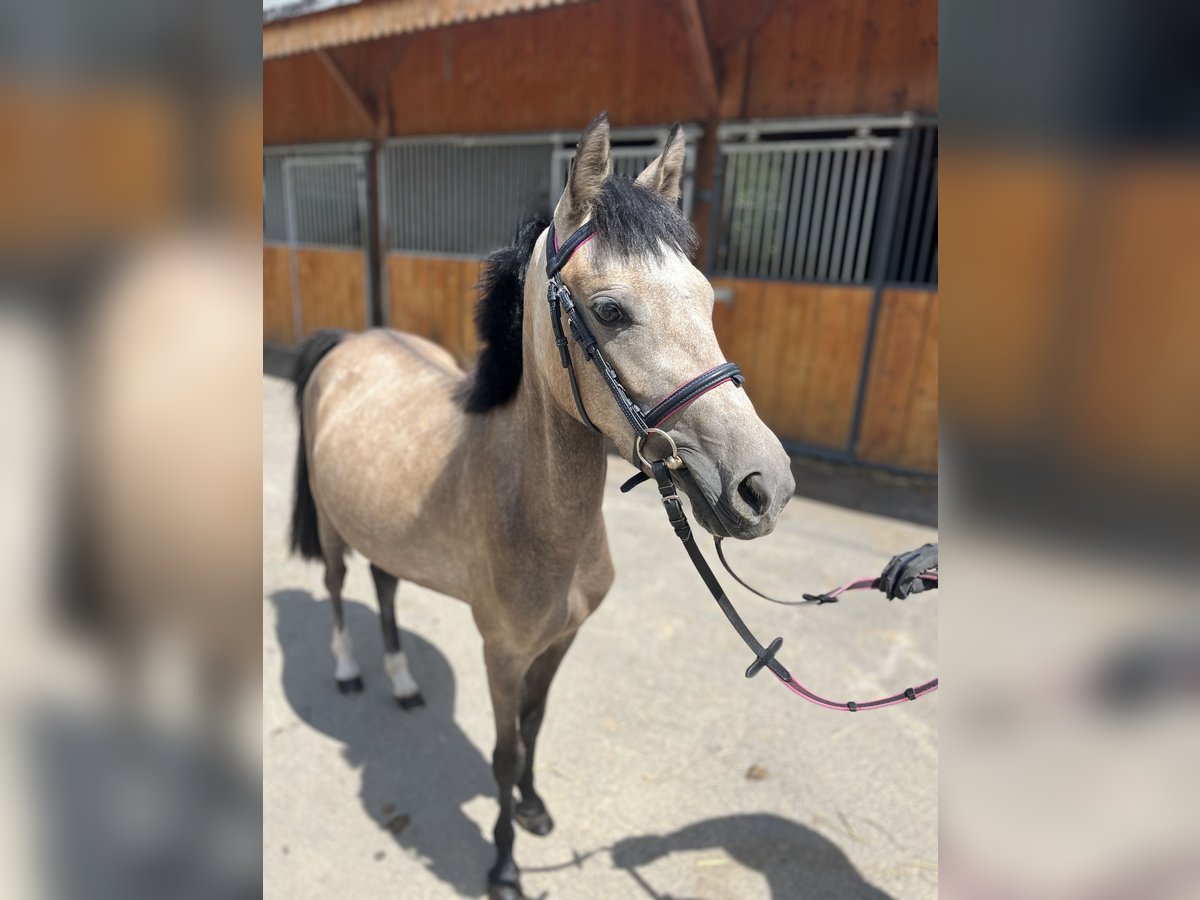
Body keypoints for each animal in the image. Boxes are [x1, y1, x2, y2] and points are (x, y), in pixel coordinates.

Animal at [288, 112, 796, 900]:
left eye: (707, 298)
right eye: (611, 310)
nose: (763, 485)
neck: (535, 515)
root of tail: (350, 343)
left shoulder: (560, 642)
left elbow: (535, 726)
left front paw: (533, 809)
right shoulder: (502, 652)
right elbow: (502, 749)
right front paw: (502, 865)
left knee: (385, 589)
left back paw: (404, 685)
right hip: (336, 527)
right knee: (342, 588)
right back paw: (349, 672)